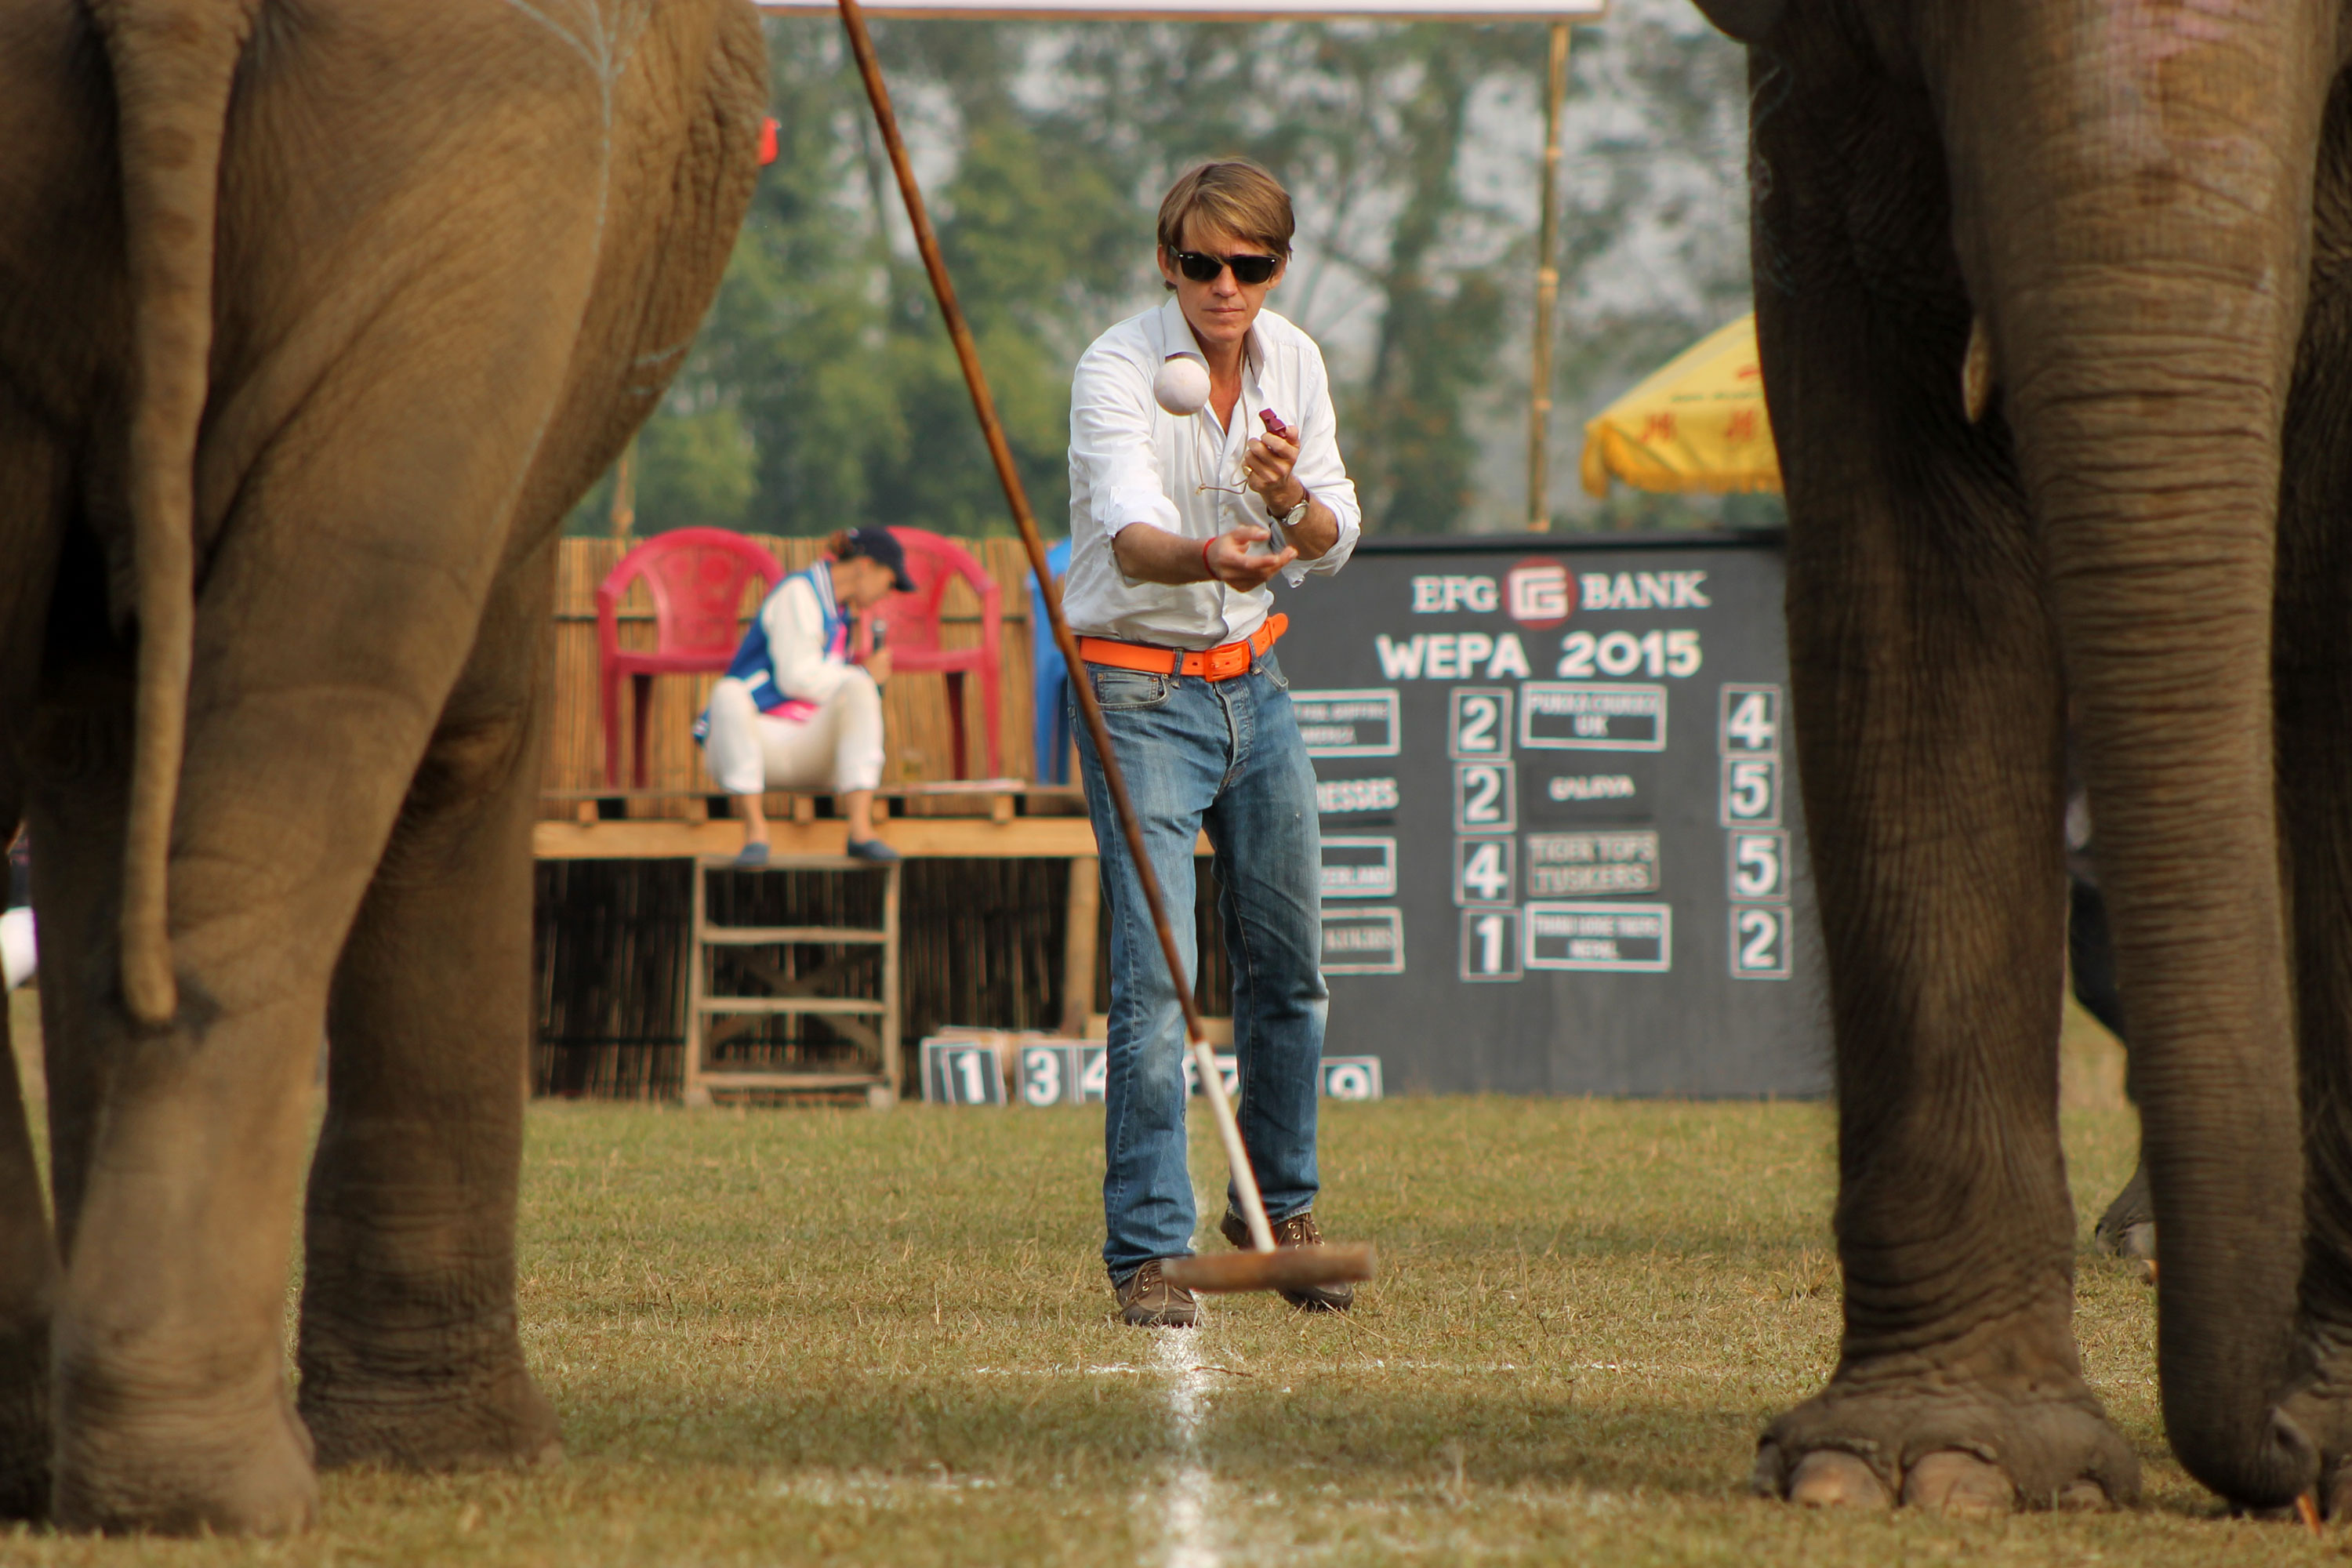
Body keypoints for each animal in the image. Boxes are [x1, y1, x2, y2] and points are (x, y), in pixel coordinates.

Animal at [0, 0, 763, 1534]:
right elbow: (468, 729)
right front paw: (471, 1462)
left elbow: (105, 731)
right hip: (473, 156)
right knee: (346, 678)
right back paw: (211, 1491)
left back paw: (95, 1469)